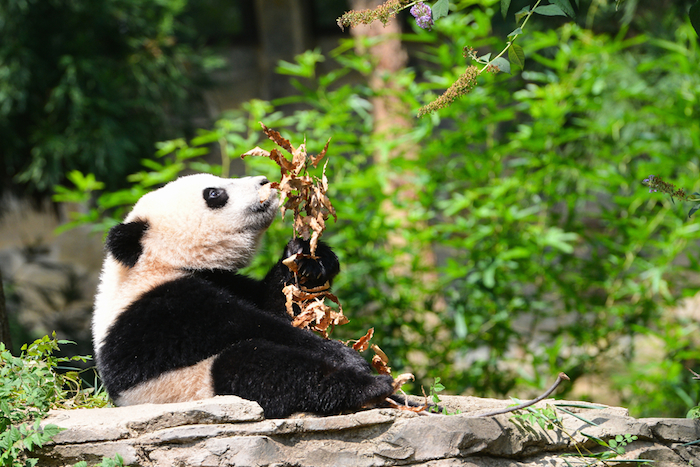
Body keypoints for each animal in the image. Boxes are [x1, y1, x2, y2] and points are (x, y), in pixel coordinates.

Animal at [93, 174, 396, 418]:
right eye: (214, 194)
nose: (264, 181)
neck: (155, 262)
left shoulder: (223, 278)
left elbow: (277, 304)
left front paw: (310, 259)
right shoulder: (160, 310)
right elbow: (250, 326)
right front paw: (344, 355)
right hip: (188, 386)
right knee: (259, 366)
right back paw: (370, 387)